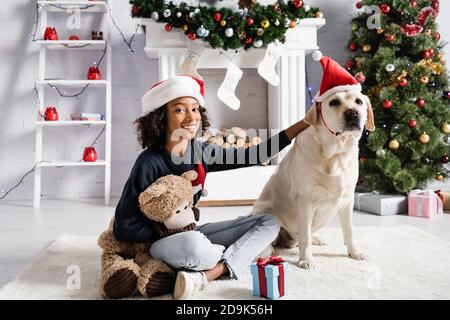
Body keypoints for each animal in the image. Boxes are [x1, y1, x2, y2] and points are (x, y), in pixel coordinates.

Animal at [253, 52, 376, 270]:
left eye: (359, 102)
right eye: (334, 102)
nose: (352, 113)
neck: (335, 154)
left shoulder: (347, 200)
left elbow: (349, 231)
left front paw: (355, 253)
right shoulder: (305, 201)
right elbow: (305, 237)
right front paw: (306, 260)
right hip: (266, 211)